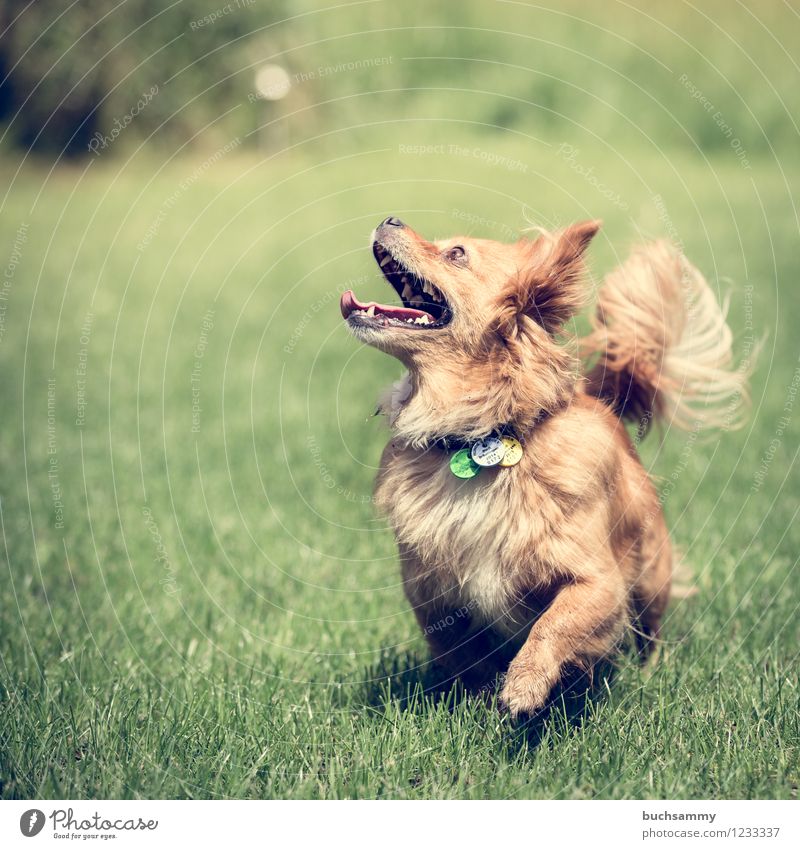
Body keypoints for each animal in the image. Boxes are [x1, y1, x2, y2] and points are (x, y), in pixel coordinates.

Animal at [340, 215, 748, 720]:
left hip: (652, 573)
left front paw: (526, 684)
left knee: (649, 634)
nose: (390, 218)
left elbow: (556, 623)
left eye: (456, 254)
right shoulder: (432, 597)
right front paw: (479, 698)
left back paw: (647, 672)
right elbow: (461, 655)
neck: (478, 433)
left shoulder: (598, 582)